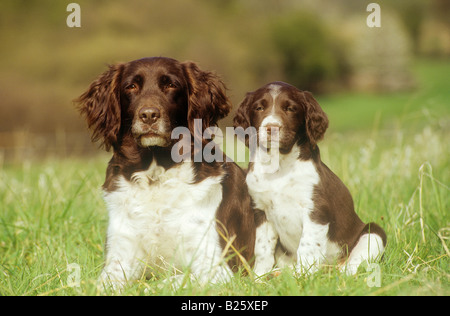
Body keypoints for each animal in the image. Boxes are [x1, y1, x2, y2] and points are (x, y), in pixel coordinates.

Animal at [76, 55, 255, 288]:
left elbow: (163, 283)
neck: (156, 177)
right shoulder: (119, 257)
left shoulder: (220, 269)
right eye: (131, 86)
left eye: (171, 85)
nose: (149, 115)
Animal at [232, 82, 386, 276]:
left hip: (373, 233)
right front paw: (259, 277)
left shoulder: (316, 210)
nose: (271, 127)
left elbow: (307, 246)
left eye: (290, 108)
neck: (279, 166)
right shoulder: (261, 210)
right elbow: (263, 249)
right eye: (259, 108)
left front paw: (304, 277)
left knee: (353, 265)